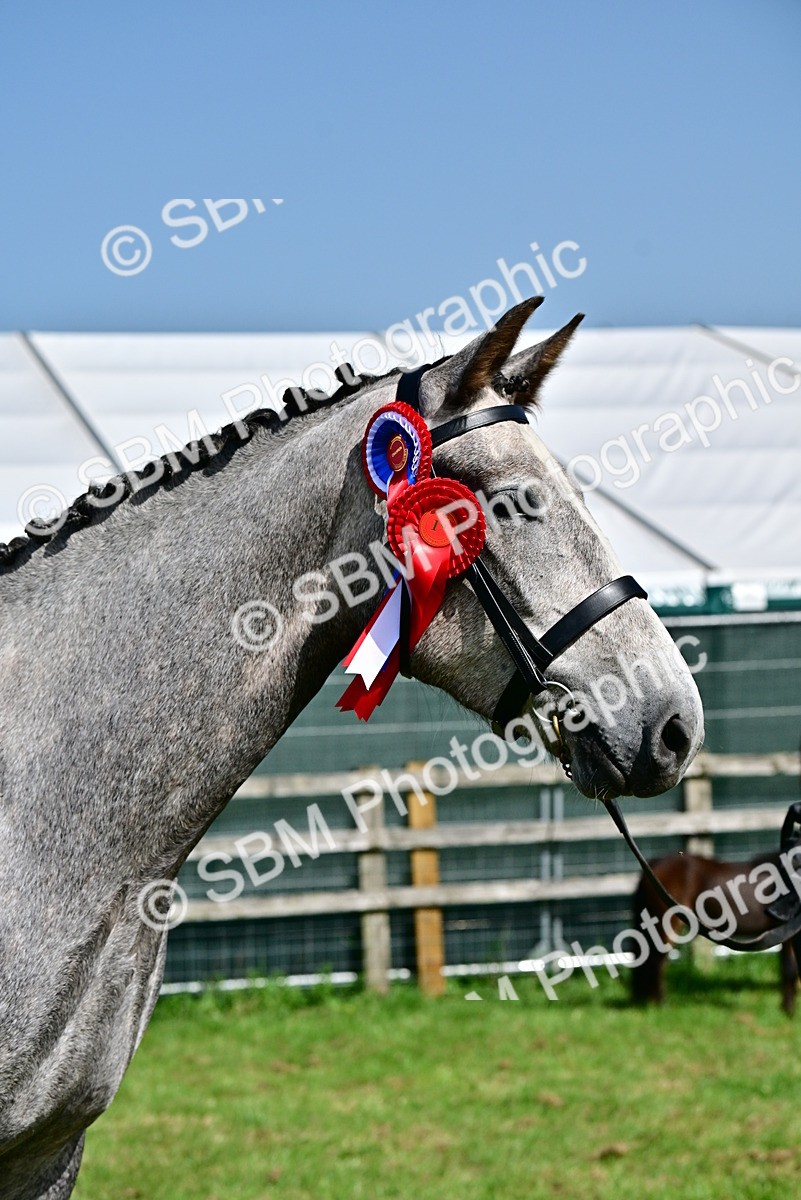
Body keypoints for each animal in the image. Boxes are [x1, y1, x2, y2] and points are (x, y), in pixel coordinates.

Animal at [631, 849, 799, 1013]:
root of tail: (653, 864)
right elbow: (789, 968)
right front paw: (788, 1009)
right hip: (666, 926)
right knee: (657, 962)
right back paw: (661, 1005)